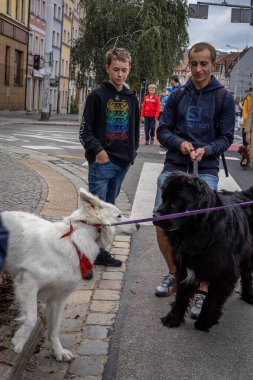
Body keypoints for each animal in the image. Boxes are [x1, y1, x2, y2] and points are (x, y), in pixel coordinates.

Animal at [1, 189, 139, 360]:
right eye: (119, 215)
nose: (139, 224)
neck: (75, 243)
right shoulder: (28, 281)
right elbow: (32, 318)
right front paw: (20, 340)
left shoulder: (59, 297)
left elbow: (55, 329)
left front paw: (58, 351)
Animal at [154, 171, 253, 332]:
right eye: (163, 198)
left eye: (176, 202)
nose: (155, 216)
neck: (199, 231)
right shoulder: (185, 267)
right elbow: (181, 296)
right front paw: (173, 318)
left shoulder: (225, 274)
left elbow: (211, 300)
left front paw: (204, 321)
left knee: (247, 274)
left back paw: (249, 295)